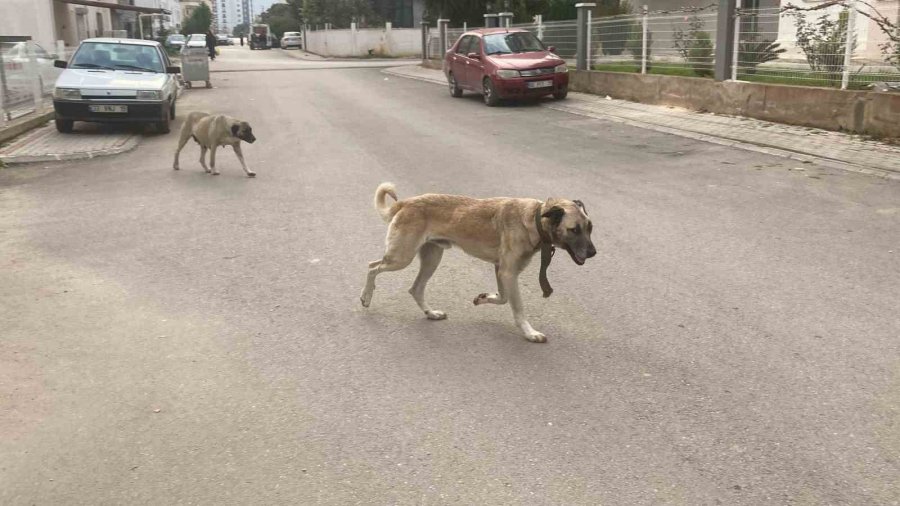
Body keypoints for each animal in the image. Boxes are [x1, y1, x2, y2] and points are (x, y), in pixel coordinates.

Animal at [358, 183, 596, 344]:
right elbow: (517, 306)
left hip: (432, 258)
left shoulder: (501, 270)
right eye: (574, 230)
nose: (593, 253)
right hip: (402, 257)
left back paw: (431, 313)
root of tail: (406, 202)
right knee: (372, 267)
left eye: (590, 227)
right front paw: (530, 333)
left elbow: (503, 297)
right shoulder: (508, 272)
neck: (534, 217)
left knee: (415, 288)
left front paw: (484, 298)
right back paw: (366, 297)